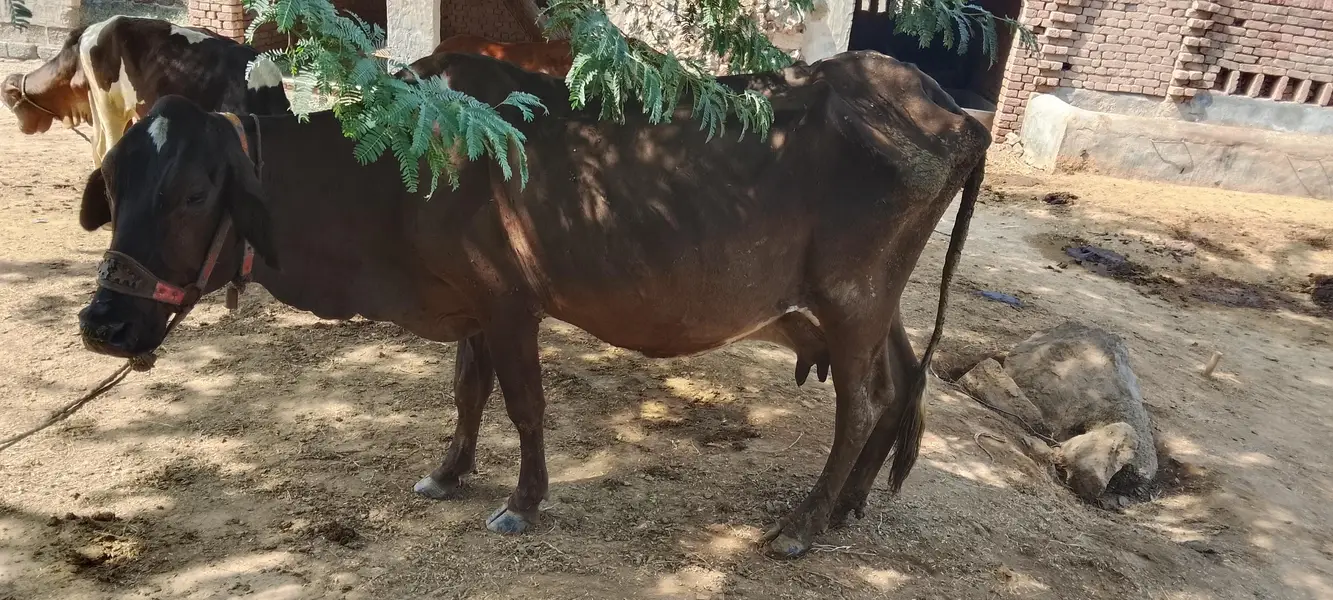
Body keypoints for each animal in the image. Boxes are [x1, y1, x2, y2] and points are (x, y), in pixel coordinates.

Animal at [0, 15, 291, 166]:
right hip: (110, 107)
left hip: (105, 106)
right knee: (108, 149)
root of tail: (94, 28)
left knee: (97, 146)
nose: (23, 128)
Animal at [74, 50, 989, 557]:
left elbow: (523, 405)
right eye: (113, 185)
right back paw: (849, 505)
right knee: (898, 388)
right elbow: (466, 393)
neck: (389, 181)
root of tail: (949, 110)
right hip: (873, 303)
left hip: (851, 296)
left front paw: (522, 503)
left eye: (194, 194)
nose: (103, 322)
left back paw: (805, 520)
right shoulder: (471, 308)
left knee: (861, 403)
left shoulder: (509, 303)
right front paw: (447, 472)